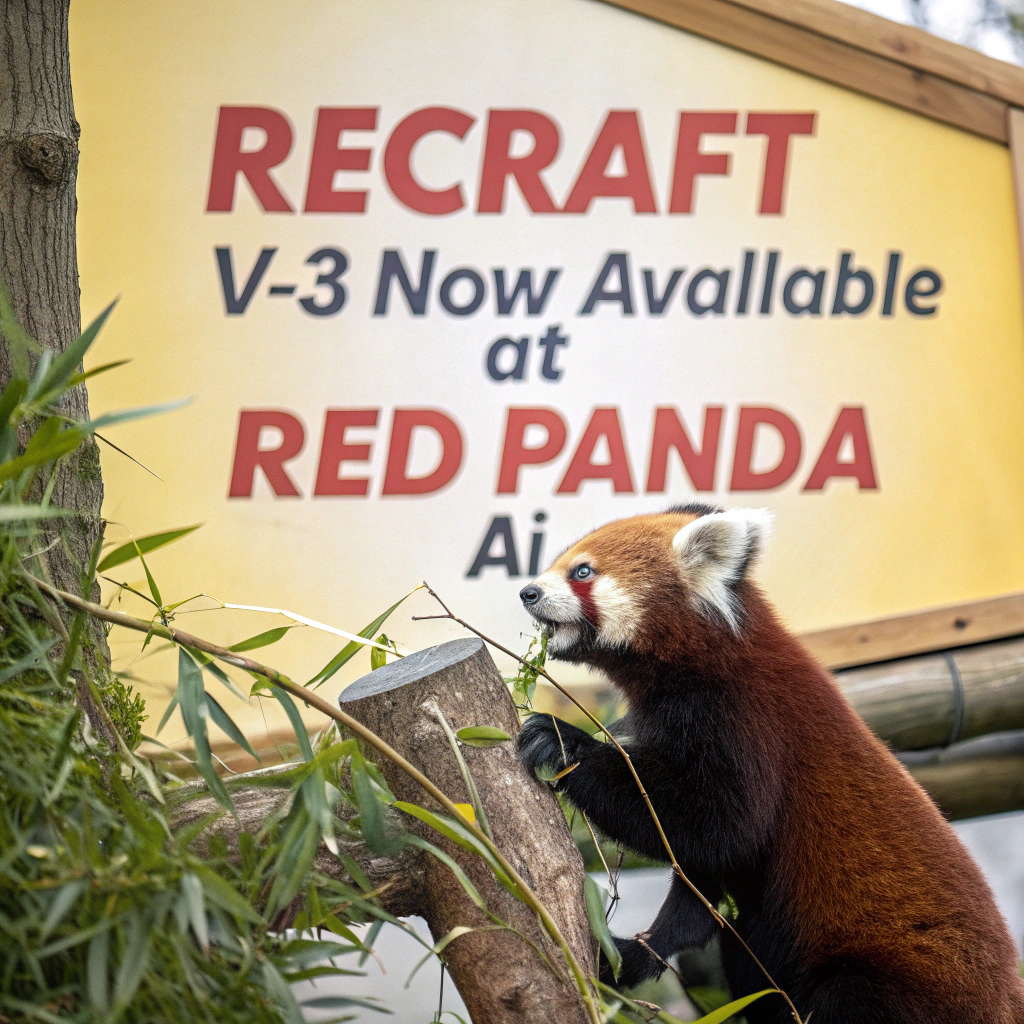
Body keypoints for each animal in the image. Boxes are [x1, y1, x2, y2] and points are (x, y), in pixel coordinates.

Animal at [516, 504, 1024, 1024]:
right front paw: (631, 955)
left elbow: (720, 828)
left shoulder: (745, 723)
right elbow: (704, 882)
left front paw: (564, 743)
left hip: (898, 981)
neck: (700, 656)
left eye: (582, 572)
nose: (527, 592)